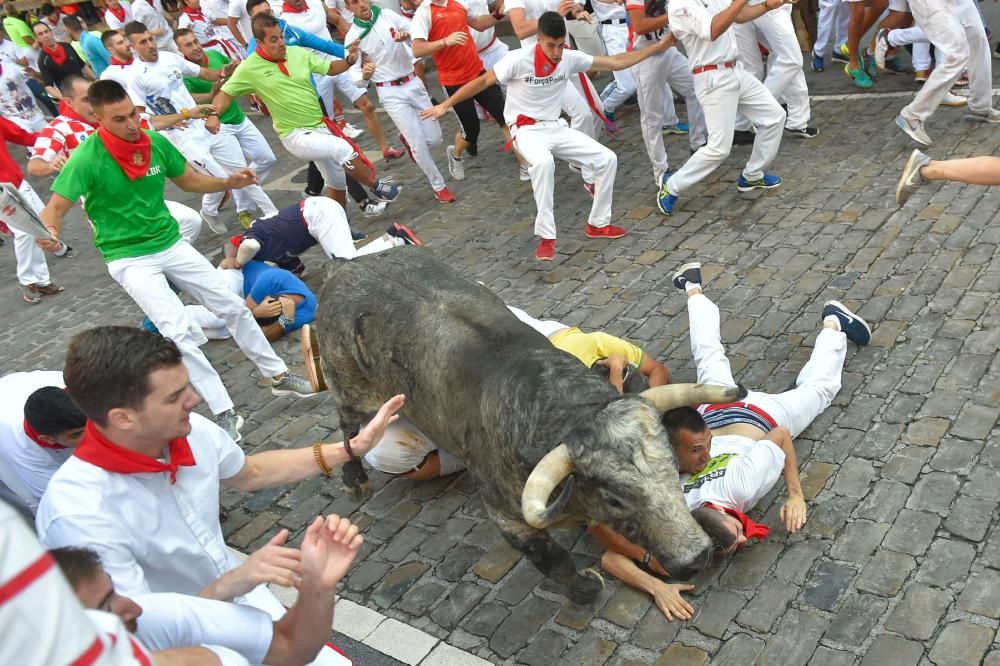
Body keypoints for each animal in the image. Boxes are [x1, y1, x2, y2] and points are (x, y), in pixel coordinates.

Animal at [316, 248, 748, 600]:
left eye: (672, 466)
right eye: (614, 498)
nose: (697, 555)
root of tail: (344, 266)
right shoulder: (509, 518)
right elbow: (553, 560)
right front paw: (585, 589)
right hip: (354, 390)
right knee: (348, 427)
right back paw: (355, 479)